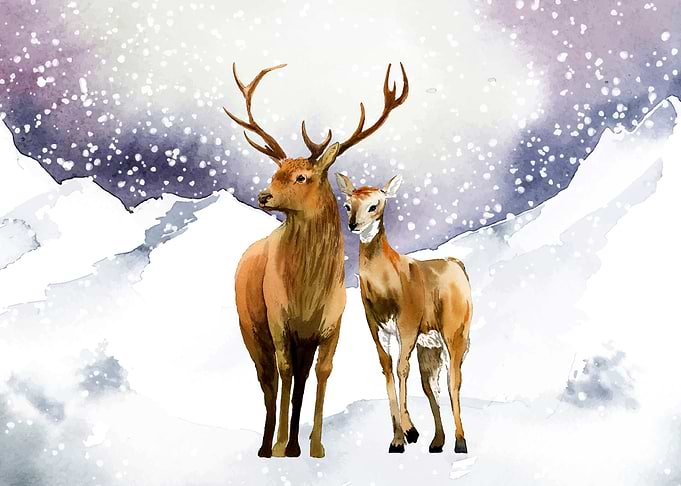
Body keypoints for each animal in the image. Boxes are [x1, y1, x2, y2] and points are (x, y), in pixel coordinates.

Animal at [227, 62, 409, 458]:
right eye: (275, 173)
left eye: (301, 176)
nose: (263, 195)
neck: (307, 290)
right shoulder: (278, 318)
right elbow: (282, 373)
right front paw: (281, 445)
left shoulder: (331, 324)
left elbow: (322, 373)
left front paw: (315, 446)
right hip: (250, 327)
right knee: (268, 379)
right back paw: (267, 445)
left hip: (301, 340)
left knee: (298, 379)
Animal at [334, 173, 472, 454]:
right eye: (347, 205)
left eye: (374, 205)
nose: (353, 225)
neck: (386, 288)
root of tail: (458, 265)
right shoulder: (375, 326)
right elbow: (387, 368)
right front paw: (398, 439)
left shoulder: (407, 322)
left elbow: (401, 369)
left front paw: (410, 431)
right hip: (429, 344)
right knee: (432, 385)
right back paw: (437, 442)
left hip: (455, 331)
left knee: (454, 379)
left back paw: (460, 442)